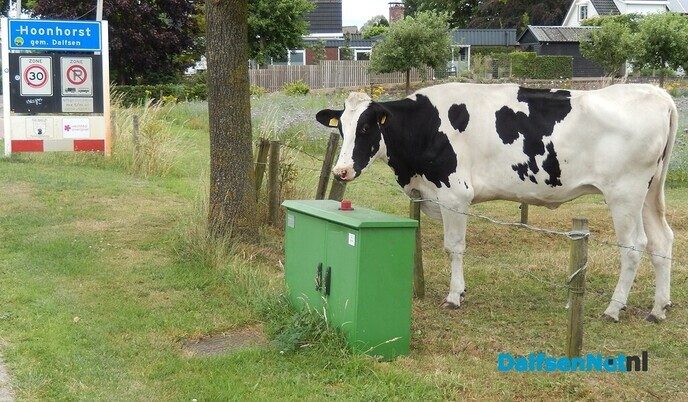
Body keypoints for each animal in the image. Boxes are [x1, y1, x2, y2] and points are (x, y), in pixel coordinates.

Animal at [316, 83, 678, 322]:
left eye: (366, 128)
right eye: (343, 128)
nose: (341, 170)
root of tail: (656, 93)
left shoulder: (455, 194)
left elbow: (454, 247)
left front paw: (454, 296)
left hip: (624, 193)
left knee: (634, 246)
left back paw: (614, 308)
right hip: (648, 193)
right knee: (662, 241)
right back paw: (658, 308)